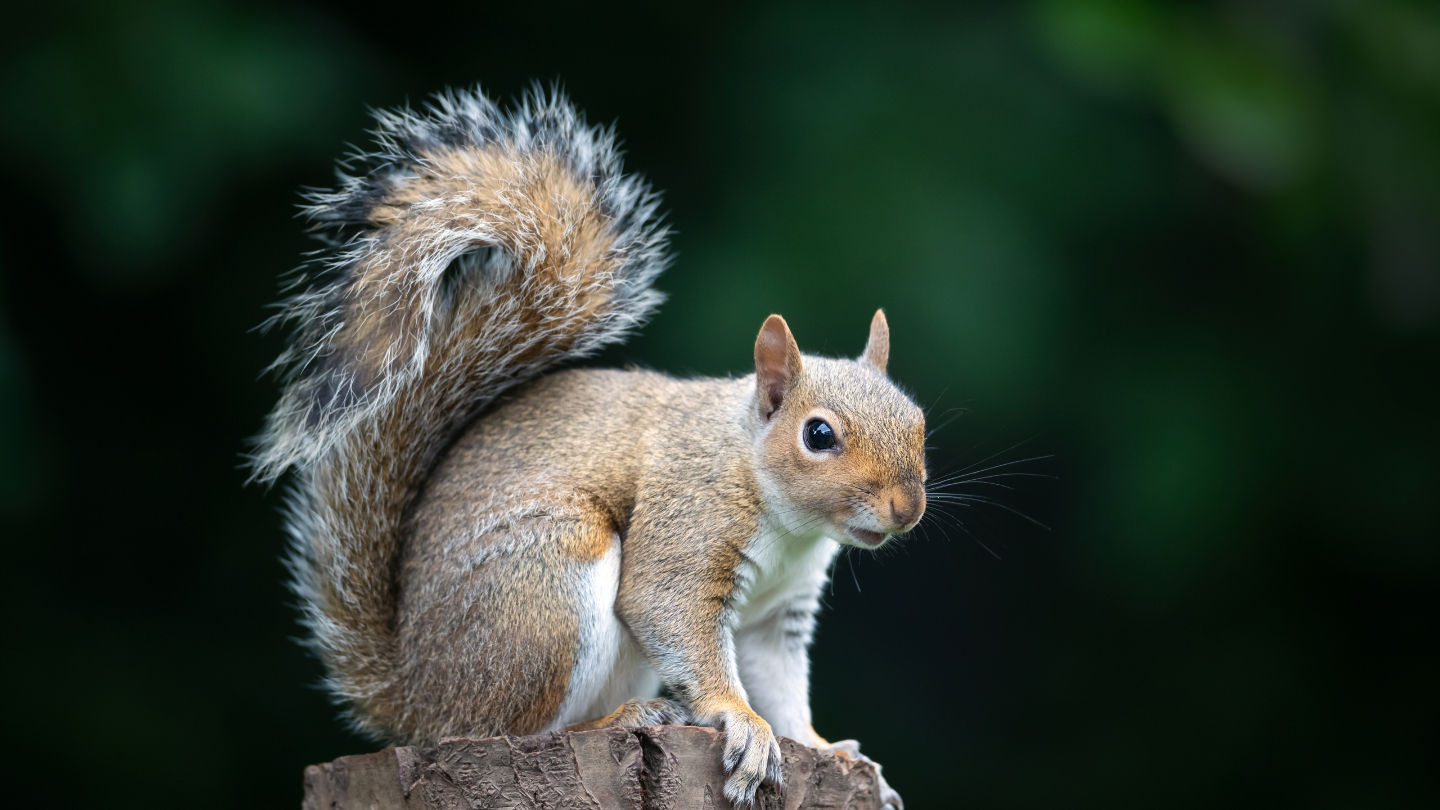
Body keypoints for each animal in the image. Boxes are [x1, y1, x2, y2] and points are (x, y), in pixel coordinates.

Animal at [252, 88, 925, 809]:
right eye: (818, 434)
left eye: (918, 421)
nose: (907, 509)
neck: (782, 515)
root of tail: (412, 697)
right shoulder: (686, 528)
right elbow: (671, 614)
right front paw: (742, 723)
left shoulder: (779, 618)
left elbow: (784, 690)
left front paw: (829, 749)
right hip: (544, 593)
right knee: (506, 729)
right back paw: (622, 717)